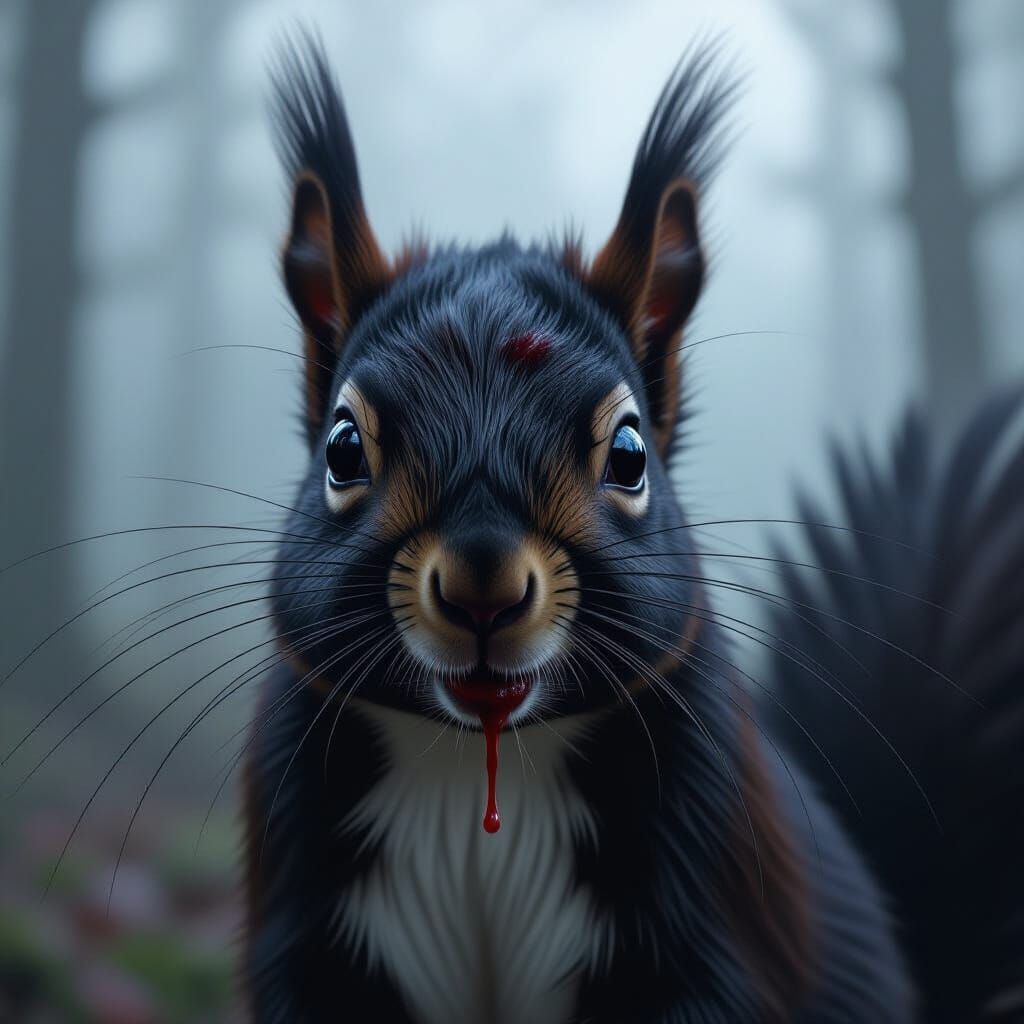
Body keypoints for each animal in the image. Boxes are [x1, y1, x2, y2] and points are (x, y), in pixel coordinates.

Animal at [241, 31, 1024, 1024]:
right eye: (343, 448)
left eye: (629, 454)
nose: (483, 586)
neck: (481, 769)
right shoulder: (306, 920)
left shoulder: (709, 915)